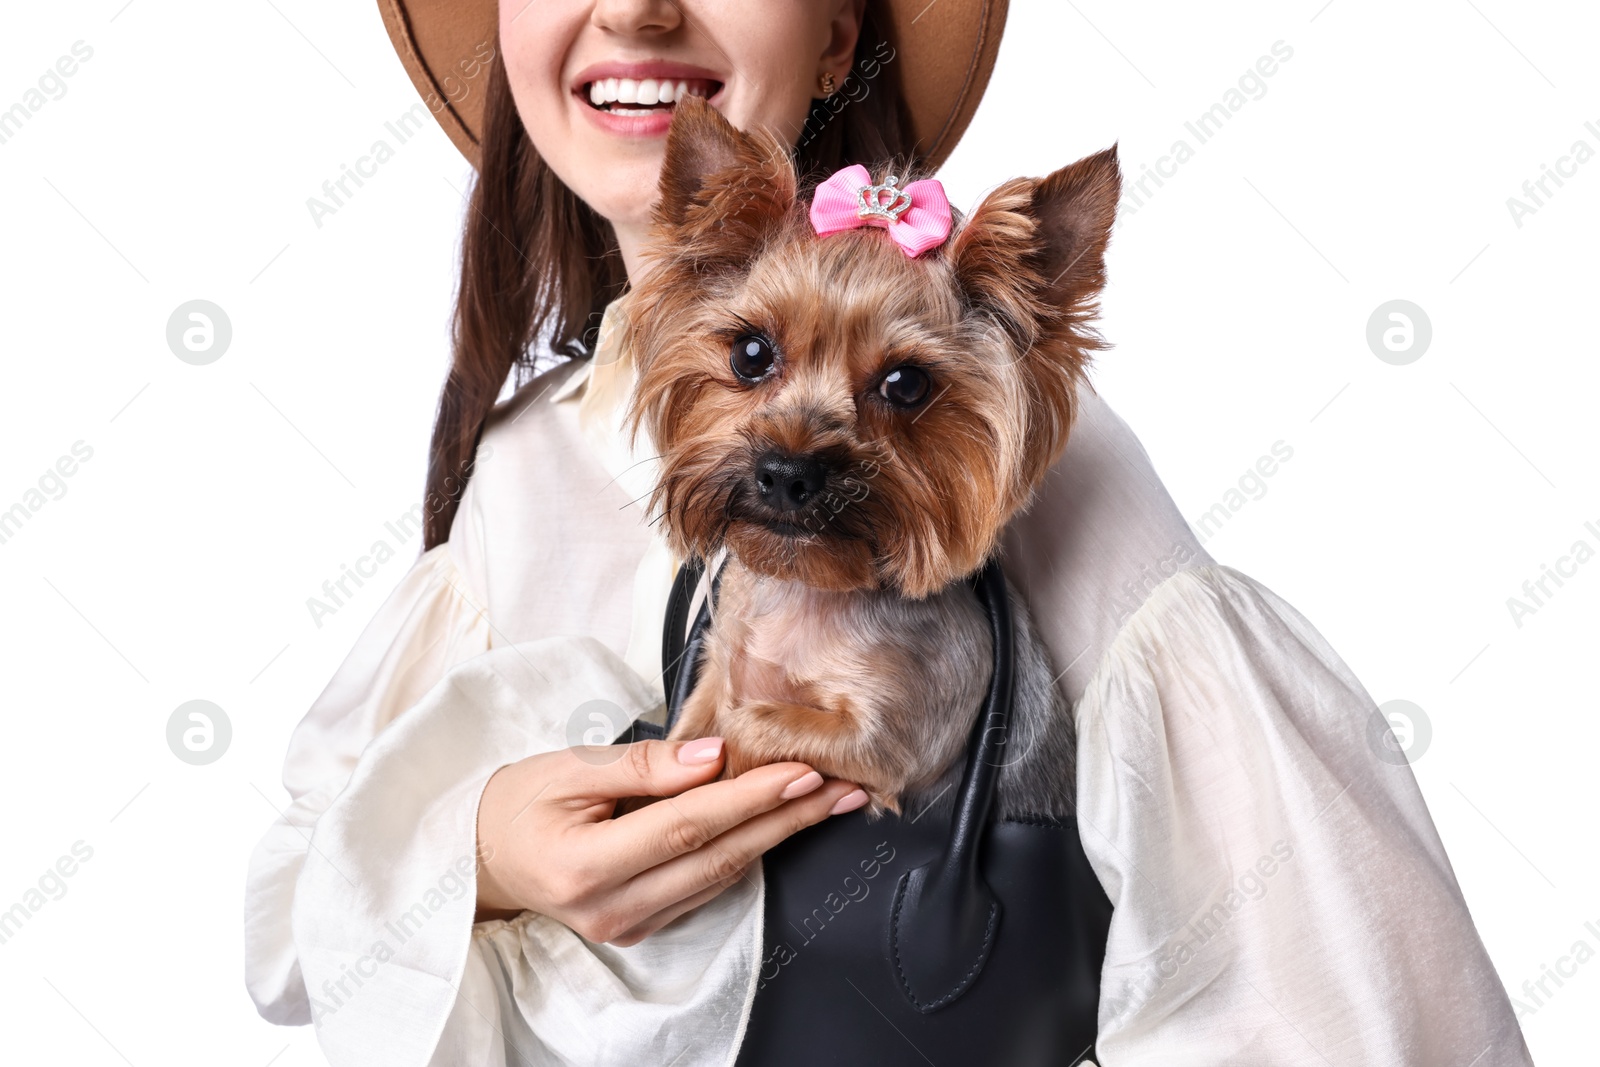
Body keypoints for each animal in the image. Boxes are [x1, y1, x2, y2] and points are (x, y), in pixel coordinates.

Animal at [617, 97, 1120, 819]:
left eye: (905, 384)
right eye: (750, 353)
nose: (788, 472)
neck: (806, 592)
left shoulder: (890, 741)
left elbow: (747, 727)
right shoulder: (715, 673)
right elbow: (688, 732)